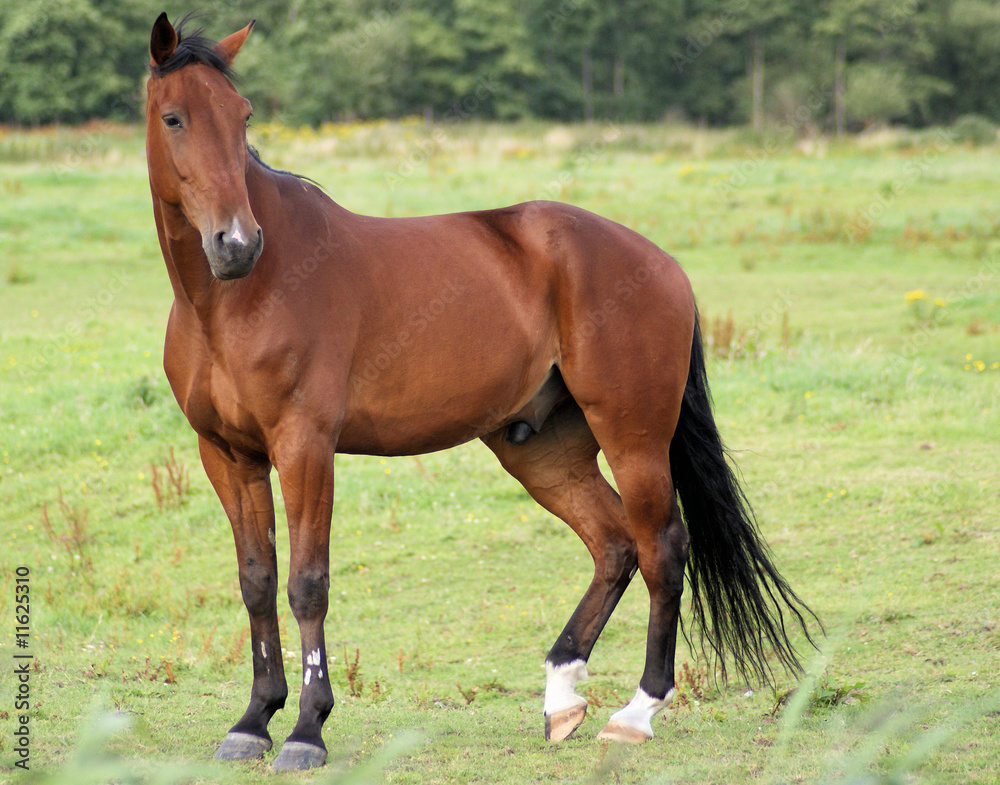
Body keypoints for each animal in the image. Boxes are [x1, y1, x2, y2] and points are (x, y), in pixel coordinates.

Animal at [145, 13, 818, 770]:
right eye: (174, 117)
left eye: (243, 116)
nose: (236, 243)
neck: (239, 298)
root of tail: (660, 262)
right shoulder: (227, 454)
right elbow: (257, 579)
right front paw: (254, 719)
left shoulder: (304, 446)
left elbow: (307, 583)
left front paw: (306, 730)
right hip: (542, 450)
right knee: (614, 544)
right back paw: (561, 695)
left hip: (633, 434)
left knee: (662, 548)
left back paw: (637, 711)